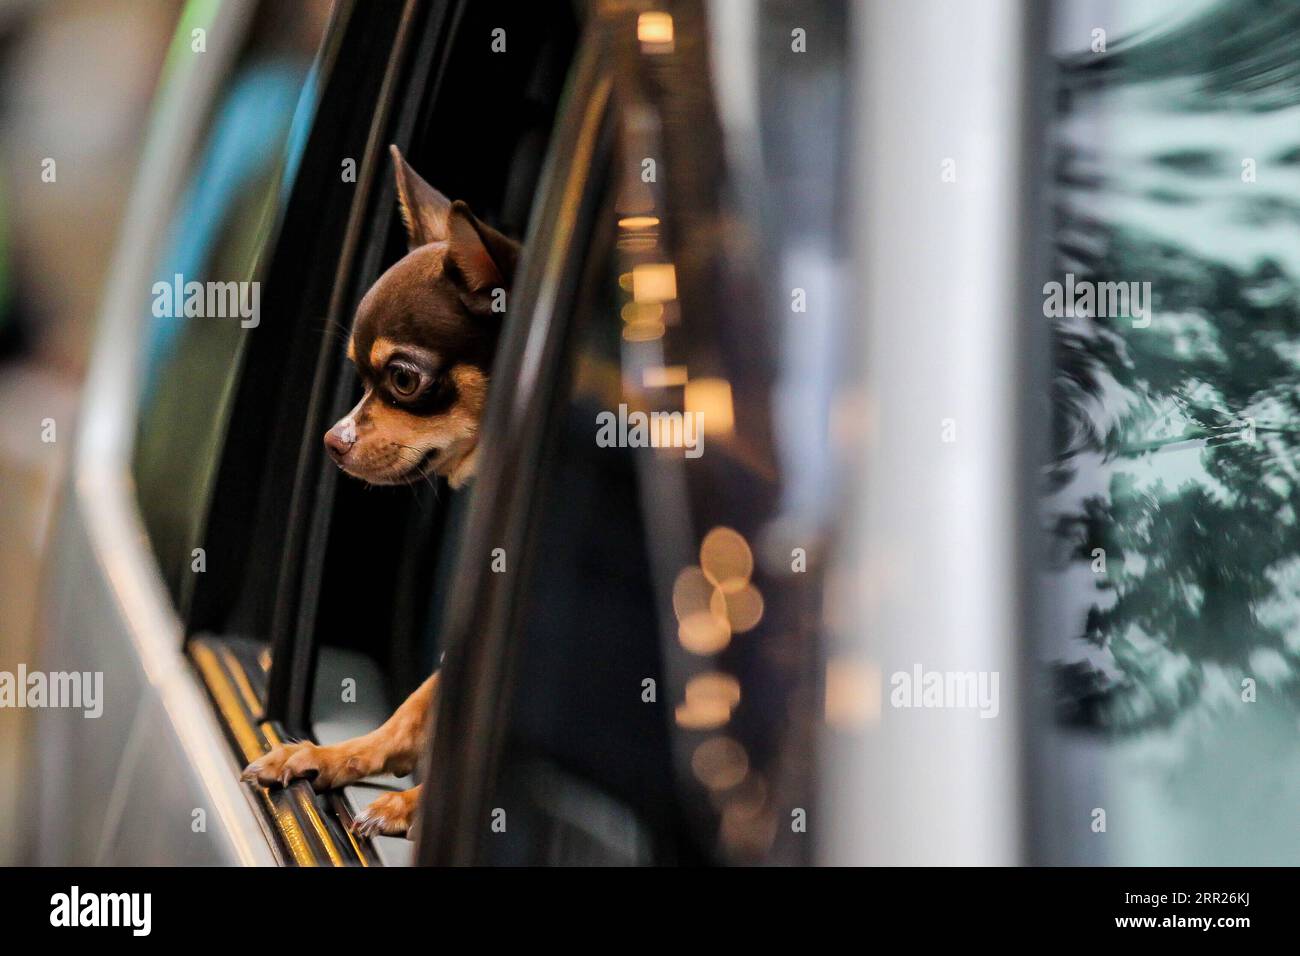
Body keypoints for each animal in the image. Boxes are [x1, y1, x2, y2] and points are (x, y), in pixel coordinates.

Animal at [241, 145, 514, 842]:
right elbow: (419, 705)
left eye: (403, 380)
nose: (331, 440)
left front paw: (415, 806)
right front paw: (333, 754)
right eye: (357, 376)